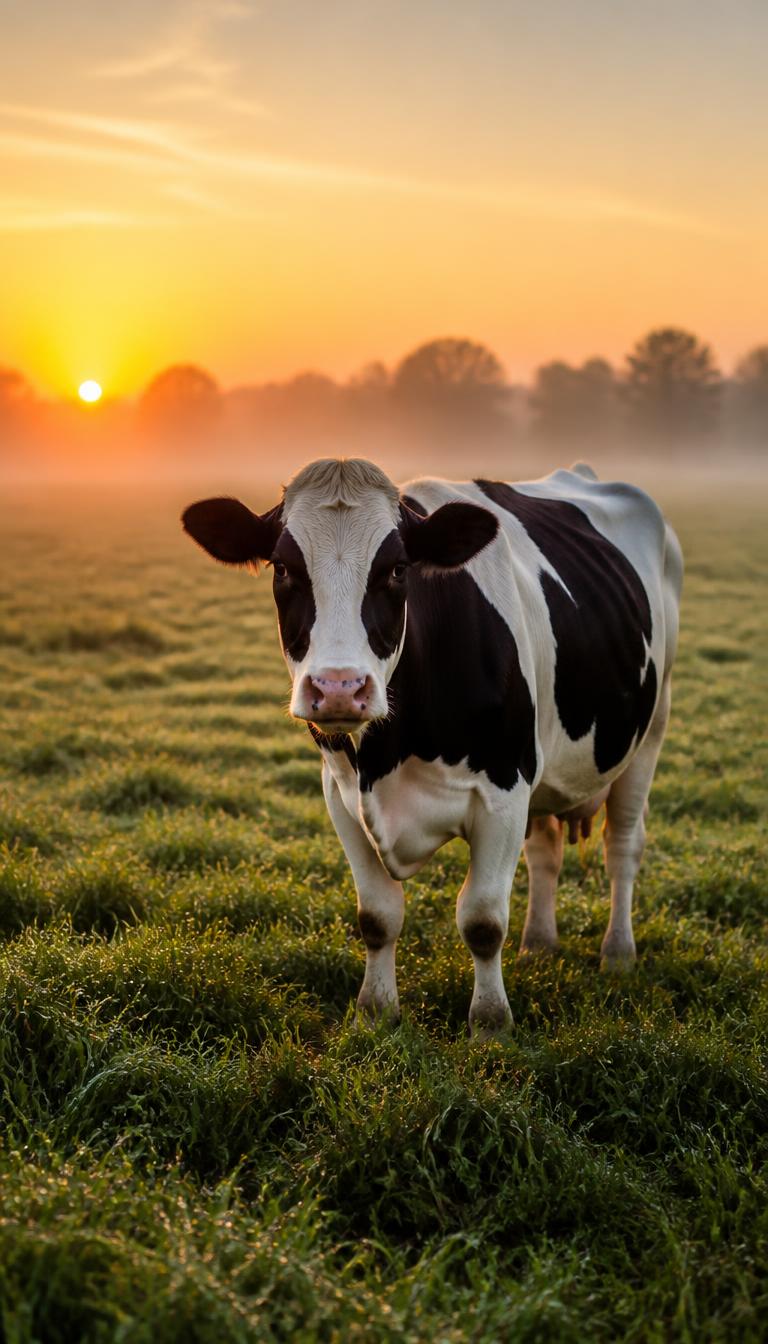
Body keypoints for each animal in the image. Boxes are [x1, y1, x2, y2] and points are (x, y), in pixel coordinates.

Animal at [182, 458, 682, 1036]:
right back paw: (539, 945)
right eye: (282, 568)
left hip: (650, 730)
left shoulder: (503, 790)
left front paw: (490, 1025)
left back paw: (618, 954)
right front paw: (376, 1012)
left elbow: (483, 919)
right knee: (546, 852)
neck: (387, 759)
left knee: (622, 846)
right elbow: (377, 916)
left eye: (399, 569)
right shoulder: (341, 795)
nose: (339, 688)